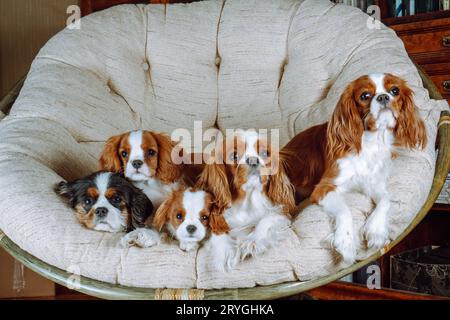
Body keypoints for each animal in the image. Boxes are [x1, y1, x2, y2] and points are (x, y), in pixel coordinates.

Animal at [197, 129, 296, 272]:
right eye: (234, 155)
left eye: (265, 153)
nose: (254, 160)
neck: (248, 200)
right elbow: (218, 231)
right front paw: (226, 251)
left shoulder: (282, 213)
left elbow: (266, 220)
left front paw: (252, 241)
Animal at [284, 74, 428, 264]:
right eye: (365, 95)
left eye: (395, 90)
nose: (383, 97)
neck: (371, 143)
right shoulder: (323, 188)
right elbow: (344, 208)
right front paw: (346, 242)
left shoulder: (373, 183)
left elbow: (386, 200)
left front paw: (376, 230)